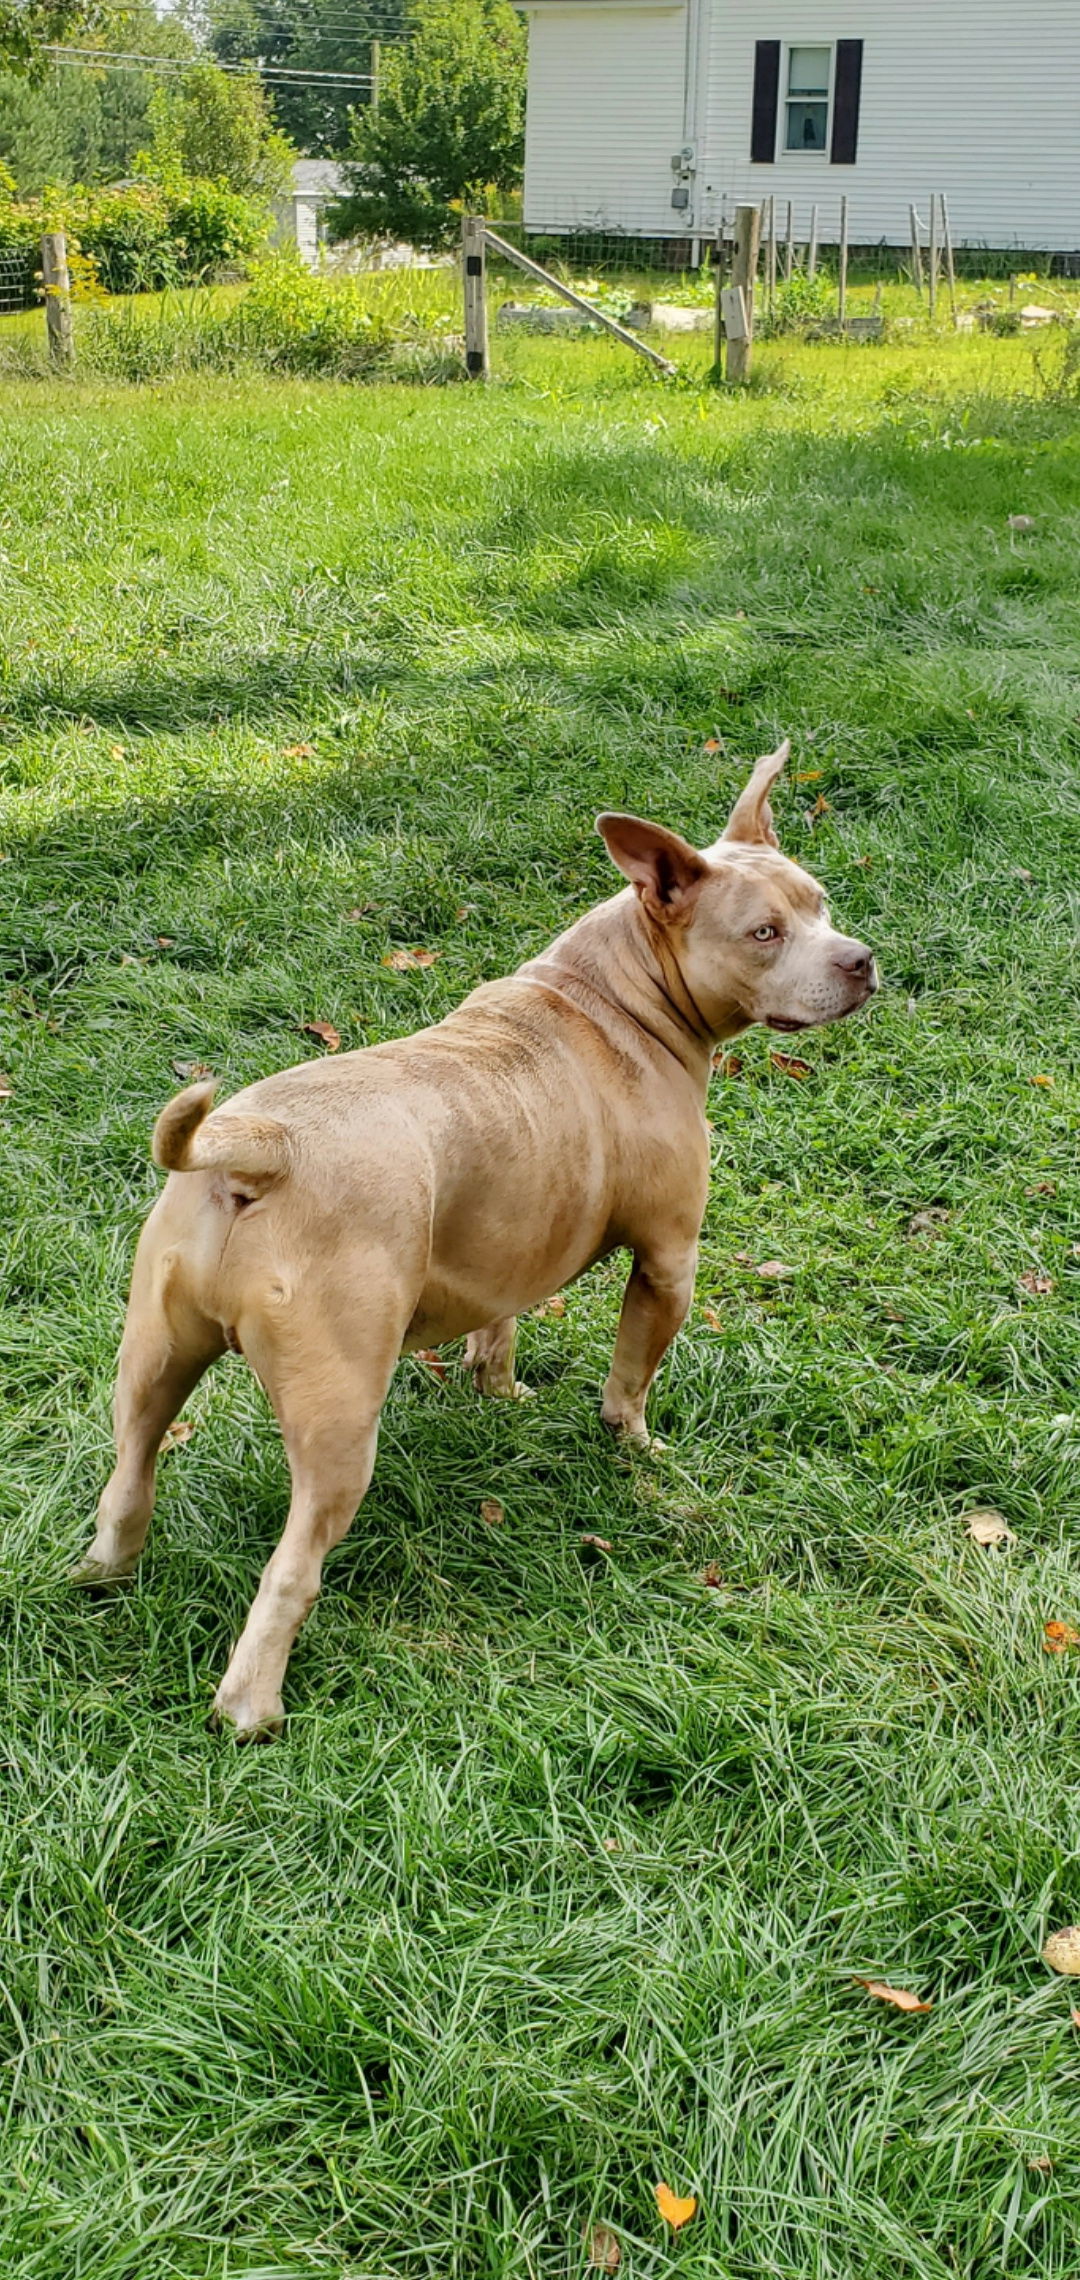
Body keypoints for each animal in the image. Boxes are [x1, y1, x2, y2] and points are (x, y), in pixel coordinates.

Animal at [75, 743, 874, 1723]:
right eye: (764, 933)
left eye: (821, 904)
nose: (863, 960)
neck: (617, 993)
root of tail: (258, 1148)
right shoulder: (668, 1263)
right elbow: (630, 1382)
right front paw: (635, 1449)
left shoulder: (508, 1246)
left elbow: (499, 1329)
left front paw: (499, 1391)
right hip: (339, 1422)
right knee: (290, 1572)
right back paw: (249, 1707)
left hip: (151, 1364)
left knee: (126, 1481)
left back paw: (102, 1578)